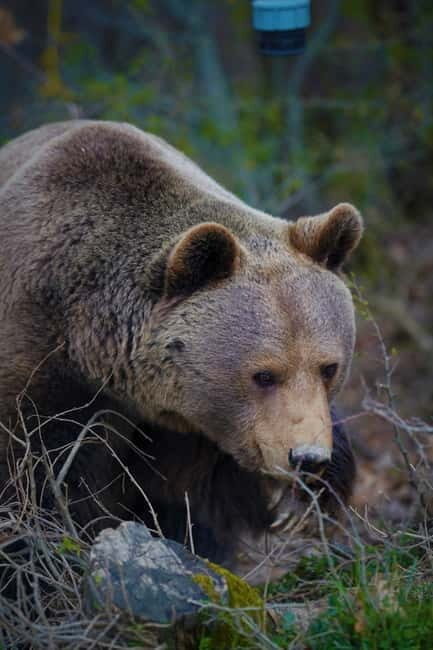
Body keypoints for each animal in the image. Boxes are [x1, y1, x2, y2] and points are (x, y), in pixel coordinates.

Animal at [0, 120, 361, 576]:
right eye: (263, 374)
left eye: (328, 367)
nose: (308, 458)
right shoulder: (41, 368)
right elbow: (34, 480)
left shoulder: (190, 431)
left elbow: (200, 499)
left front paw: (299, 502)